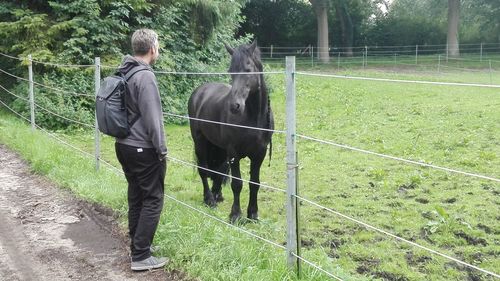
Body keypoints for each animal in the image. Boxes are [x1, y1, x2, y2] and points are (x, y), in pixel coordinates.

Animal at [188, 40, 274, 222]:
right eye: (231, 71)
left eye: (248, 69)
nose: (235, 106)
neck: (253, 119)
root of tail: (200, 91)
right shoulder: (234, 153)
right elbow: (237, 184)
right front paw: (235, 215)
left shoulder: (260, 153)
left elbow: (254, 183)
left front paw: (253, 214)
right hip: (200, 141)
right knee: (203, 169)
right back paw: (209, 199)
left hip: (219, 148)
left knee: (218, 171)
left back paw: (217, 195)